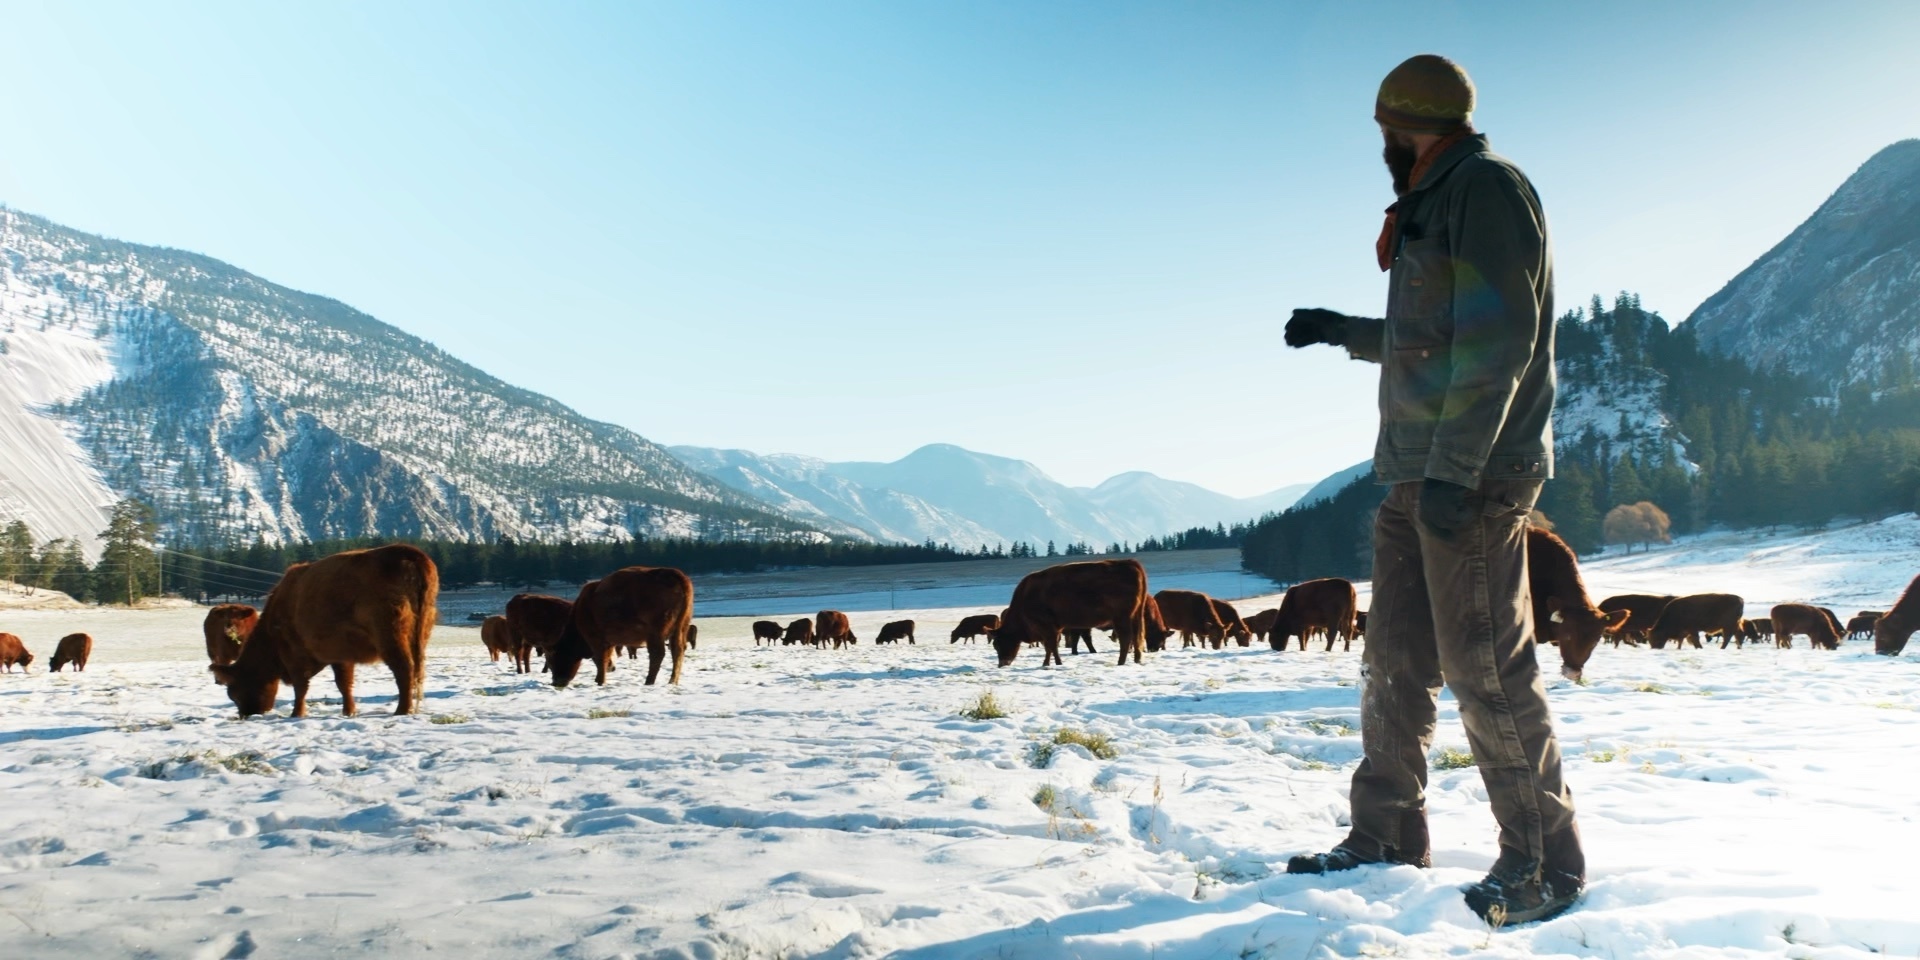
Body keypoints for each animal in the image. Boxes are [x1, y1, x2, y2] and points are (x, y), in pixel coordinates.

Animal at [210, 545, 439, 718]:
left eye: (234, 693)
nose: (245, 715)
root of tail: (408, 552)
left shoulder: (294, 653)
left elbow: (301, 685)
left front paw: (297, 713)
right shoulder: (341, 654)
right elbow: (344, 683)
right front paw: (349, 711)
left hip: (390, 633)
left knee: (403, 668)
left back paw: (402, 710)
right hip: (420, 632)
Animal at [549, 564, 698, 687]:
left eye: (555, 658)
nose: (556, 682)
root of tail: (672, 573)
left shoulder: (596, 639)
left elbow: (600, 659)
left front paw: (600, 681)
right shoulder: (608, 642)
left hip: (656, 633)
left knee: (658, 653)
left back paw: (649, 681)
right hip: (680, 628)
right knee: (677, 650)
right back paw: (672, 681)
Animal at [998, 556, 1144, 668]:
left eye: (998, 643)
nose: (1001, 664)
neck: (1025, 596)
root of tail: (1130, 562)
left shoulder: (1047, 628)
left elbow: (1051, 646)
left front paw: (1053, 663)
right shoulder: (1056, 628)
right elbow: (1051, 646)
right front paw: (1049, 663)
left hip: (1121, 618)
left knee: (1126, 638)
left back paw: (1120, 662)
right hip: (1135, 616)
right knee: (1136, 637)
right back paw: (1137, 659)